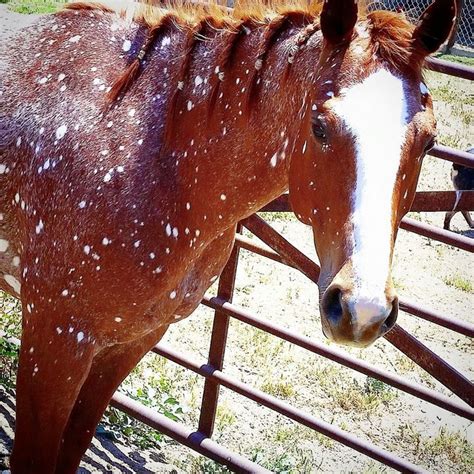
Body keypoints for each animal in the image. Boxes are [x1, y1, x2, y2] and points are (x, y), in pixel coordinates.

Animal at [0, 0, 460, 472]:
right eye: (319, 126)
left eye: (429, 142)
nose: (362, 309)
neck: (160, 163)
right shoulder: (56, 339)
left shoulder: (132, 341)